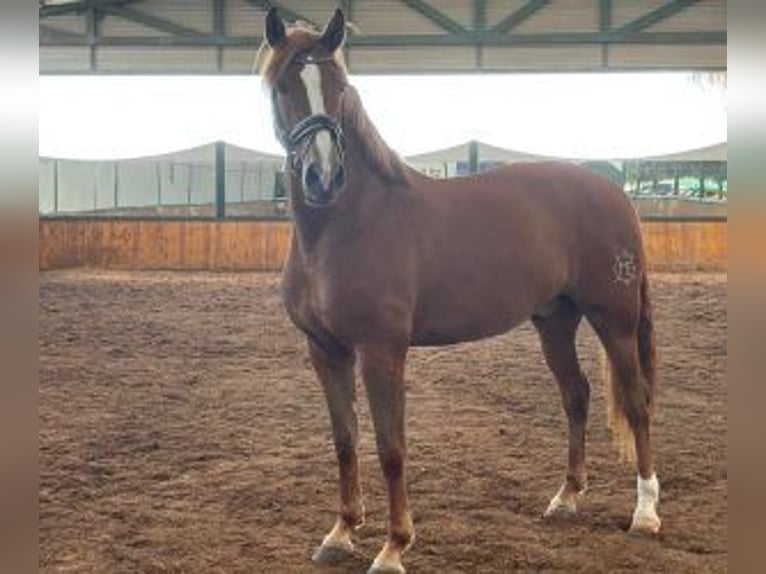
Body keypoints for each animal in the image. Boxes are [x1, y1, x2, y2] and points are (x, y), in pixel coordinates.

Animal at [260, 9, 664, 574]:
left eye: (339, 88)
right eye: (281, 87)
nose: (324, 176)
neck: (347, 225)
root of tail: (614, 192)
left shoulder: (381, 351)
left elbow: (391, 447)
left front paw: (393, 546)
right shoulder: (325, 350)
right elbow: (344, 440)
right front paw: (340, 532)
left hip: (615, 319)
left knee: (637, 400)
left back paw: (645, 512)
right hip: (556, 320)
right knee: (576, 394)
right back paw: (566, 498)